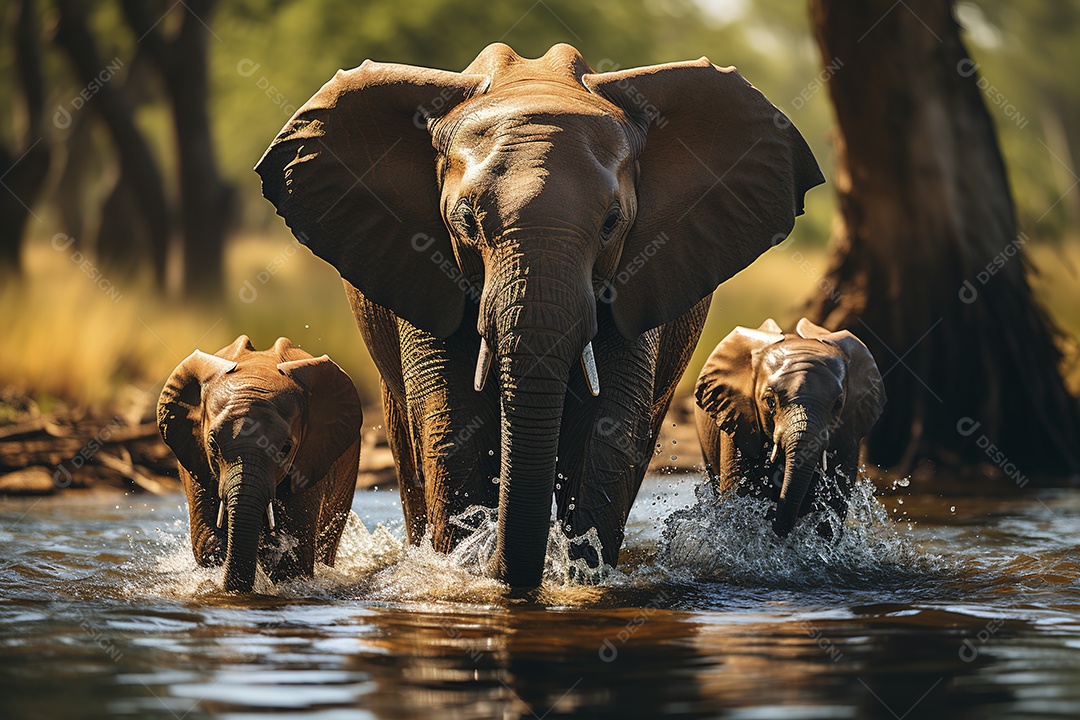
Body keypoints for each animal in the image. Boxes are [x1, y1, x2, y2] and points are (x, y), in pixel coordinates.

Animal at [157, 335, 362, 592]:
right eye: (212, 444)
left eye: (285, 448)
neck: (258, 366)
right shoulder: (195, 459)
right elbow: (208, 541)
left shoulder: (311, 458)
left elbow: (296, 550)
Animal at [255, 43, 824, 588]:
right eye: (466, 221)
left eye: (612, 223)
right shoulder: (423, 263)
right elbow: (455, 427)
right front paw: (466, 570)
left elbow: (606, 431)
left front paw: (580, 577)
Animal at [694, 318, 886, 538]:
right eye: (770, 401)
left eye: (838, 404)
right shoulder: (739, 420)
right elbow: (739, 493)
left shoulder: (849, 434)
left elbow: (832, 505)